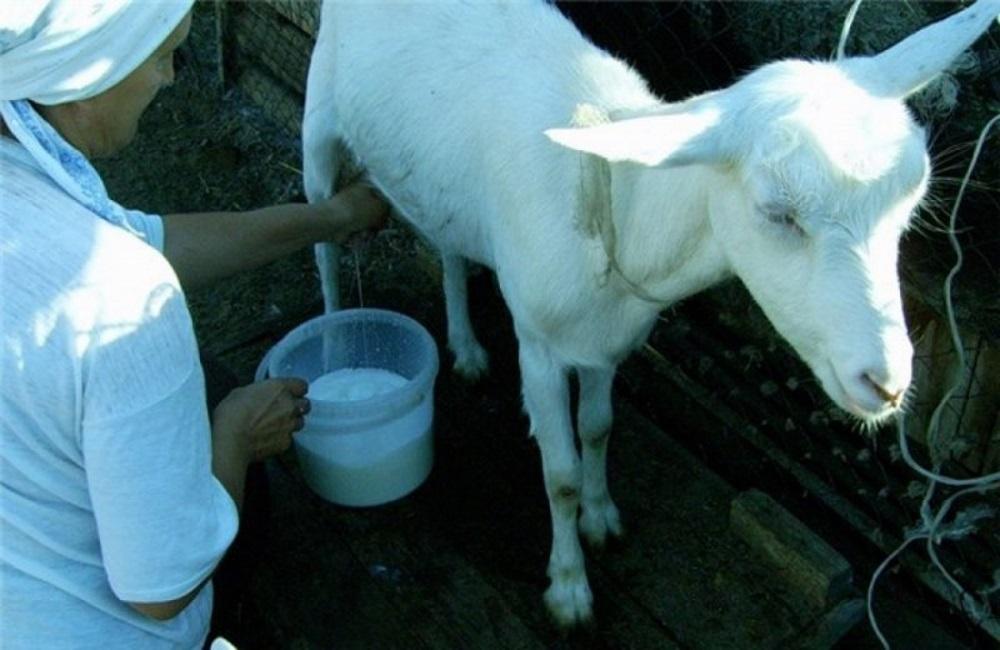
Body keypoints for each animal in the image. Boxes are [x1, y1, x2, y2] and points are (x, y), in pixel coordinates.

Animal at [304, 1, 1000, 628]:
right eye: (777, 212)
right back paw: (336, 350)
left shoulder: (607, 340)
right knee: (324, 247)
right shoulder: (539, 345)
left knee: (447, 242)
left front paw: (601, 517)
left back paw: (467, 348)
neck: (617, 201)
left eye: (911, 197)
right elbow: (558, 473)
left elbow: (598, 428)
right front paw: (569, 588)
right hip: (319, 120)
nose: (887, 383)